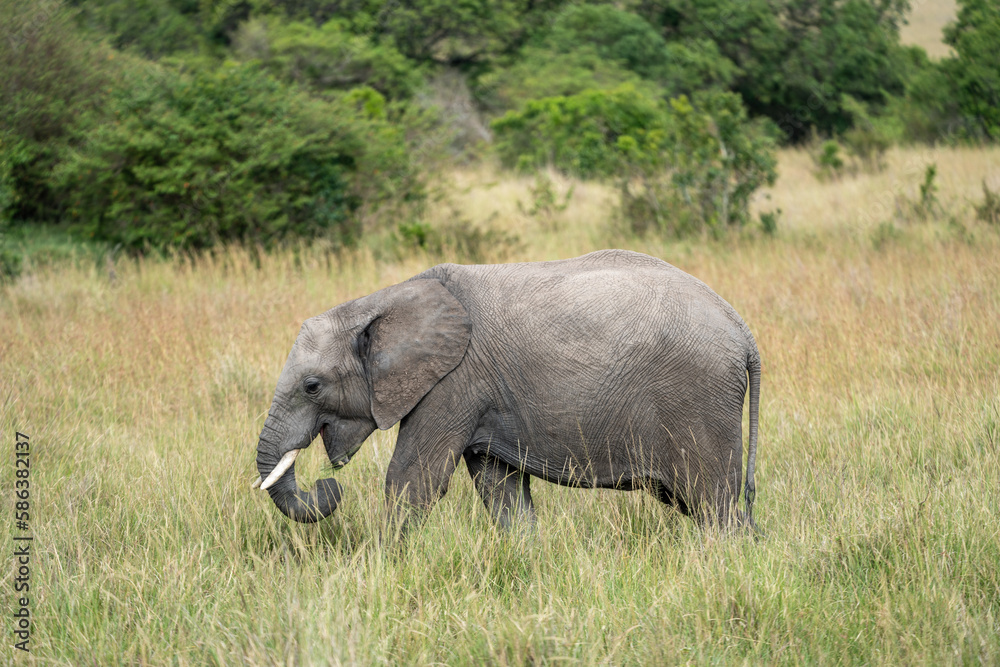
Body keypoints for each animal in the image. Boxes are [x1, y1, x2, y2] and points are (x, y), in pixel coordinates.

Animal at [254, 248, 760, 536]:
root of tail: (742, 328)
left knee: (714, 504)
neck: (381, 300)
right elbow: (500, 487)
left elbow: (413, 478)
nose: (327, 486)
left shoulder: (454, 381)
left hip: (699, 400)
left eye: (312, 386)